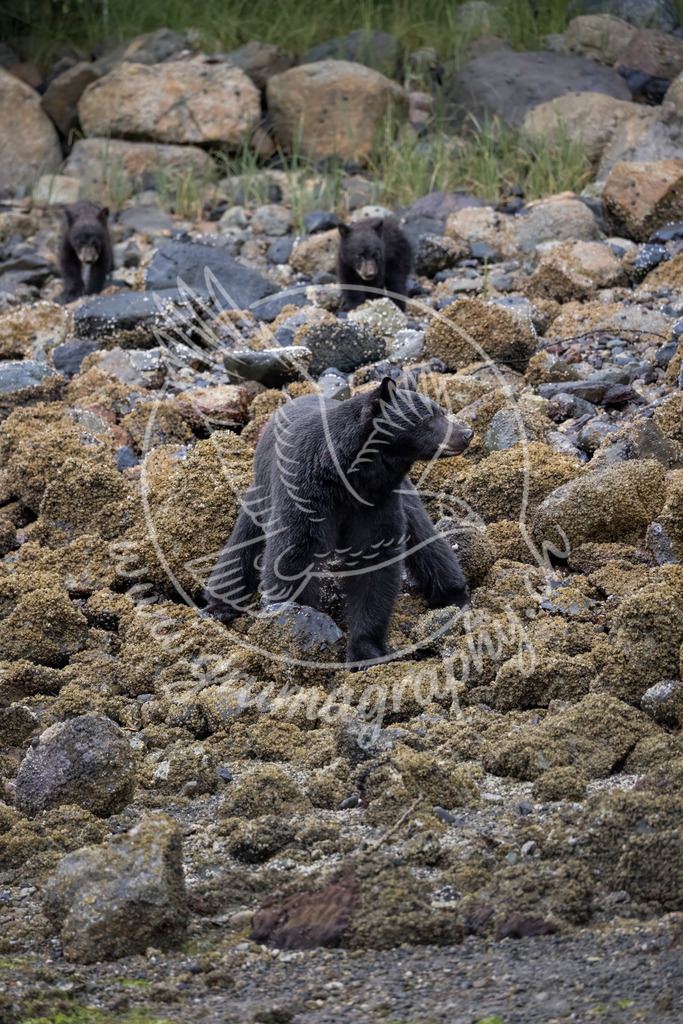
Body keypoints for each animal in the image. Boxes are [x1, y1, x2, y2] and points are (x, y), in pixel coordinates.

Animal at [202, 377, 473, 666]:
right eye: (429, 418)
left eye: (441, 411)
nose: (466, 433)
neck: (346, 475)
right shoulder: (304, 495)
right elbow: (292, 556)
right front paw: (296, 627)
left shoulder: (377, 502)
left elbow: (374, 565)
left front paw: (365, 651)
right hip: (261, 490)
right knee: (242, 543)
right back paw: (219, 605)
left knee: (426, 539)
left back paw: (453, 596)